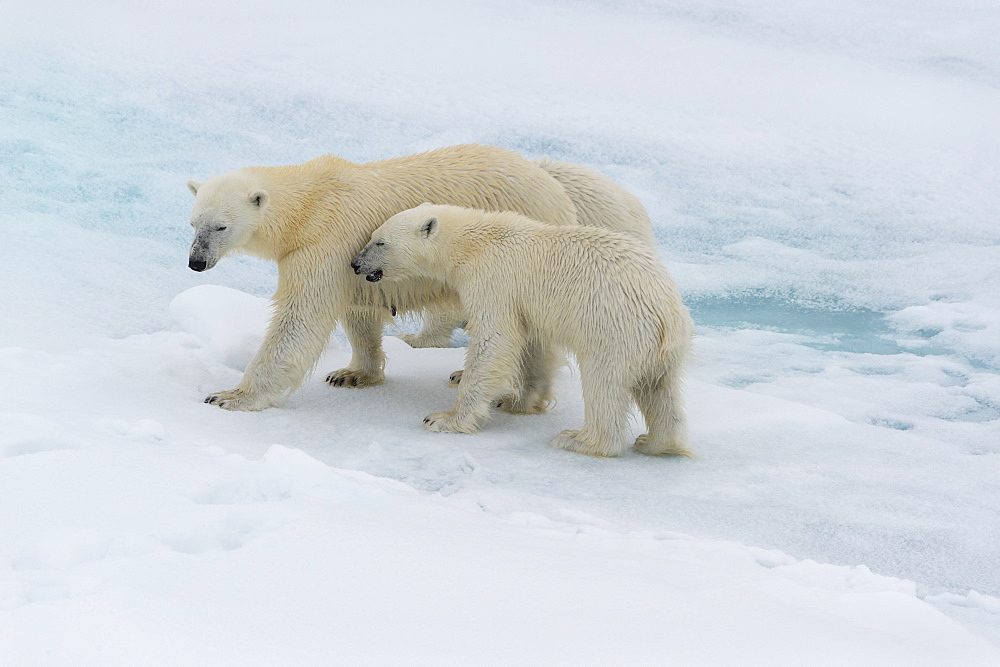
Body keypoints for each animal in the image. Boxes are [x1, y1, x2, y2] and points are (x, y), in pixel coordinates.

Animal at [188, 144, 656, 410]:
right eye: (192, 223)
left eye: (221, 226)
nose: (196, 262)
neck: (309, 204)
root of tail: (550, 183)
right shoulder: (353, 258)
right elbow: (359, 309)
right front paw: (354, 373)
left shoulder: (326, 241)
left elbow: (300, 318)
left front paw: (229, 395)